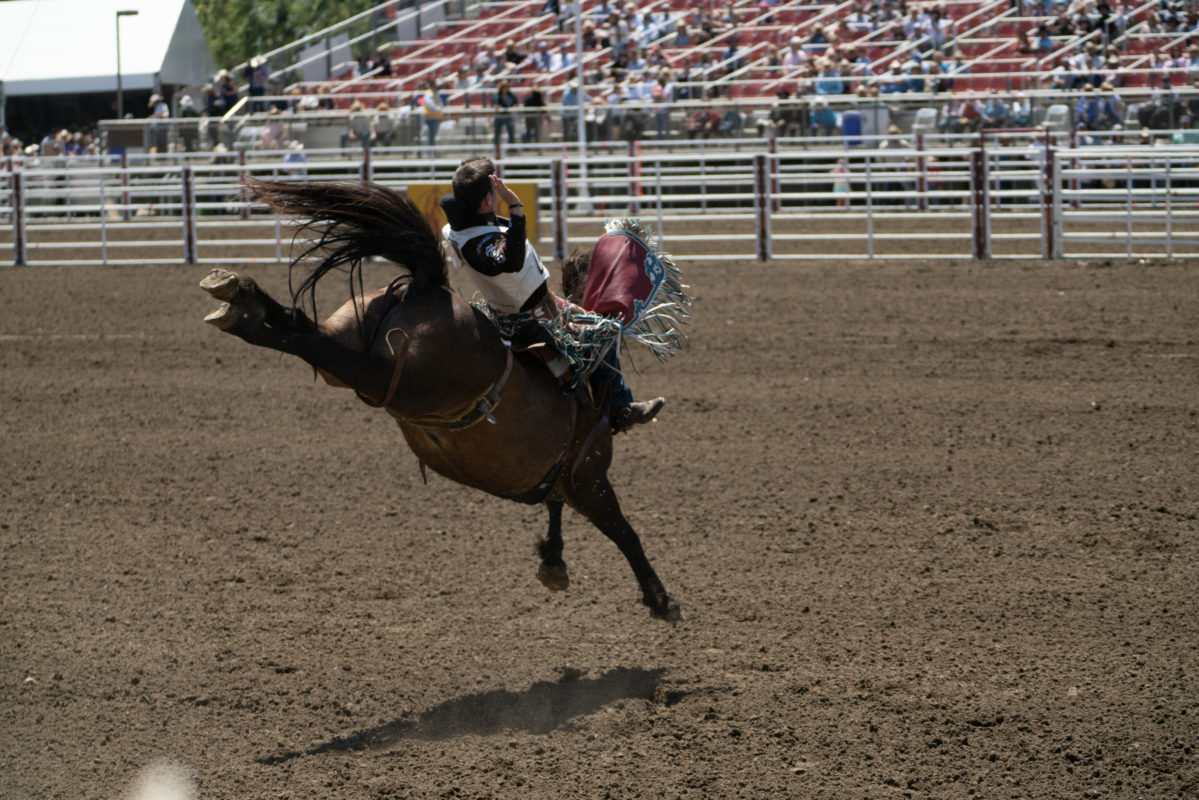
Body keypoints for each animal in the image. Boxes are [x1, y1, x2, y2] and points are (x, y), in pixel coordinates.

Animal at [201, 178, 690, 623]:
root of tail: (422, 287)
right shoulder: (589, 477)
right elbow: (625, 533)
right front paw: (660, 599)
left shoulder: (558, 473)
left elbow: (553, 505)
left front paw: (553, 562)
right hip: (386, 376)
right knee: (314, 346)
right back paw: (240, 314)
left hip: (351, 340)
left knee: (303, 327)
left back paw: (240, 294)